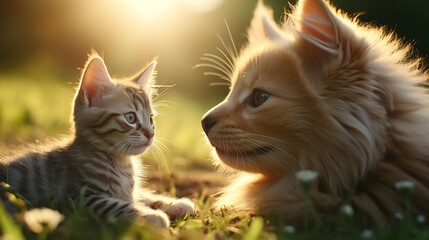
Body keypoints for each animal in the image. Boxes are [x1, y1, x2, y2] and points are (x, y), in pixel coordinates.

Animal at [0, 53, 194, 228]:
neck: (120, 163)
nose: (150, 134)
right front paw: (151, 216)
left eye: (151, 118)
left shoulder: (127, 193)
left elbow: (141, 195)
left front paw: (175, 204)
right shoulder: (79, 199)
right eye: (130, 117)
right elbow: (116, 205)